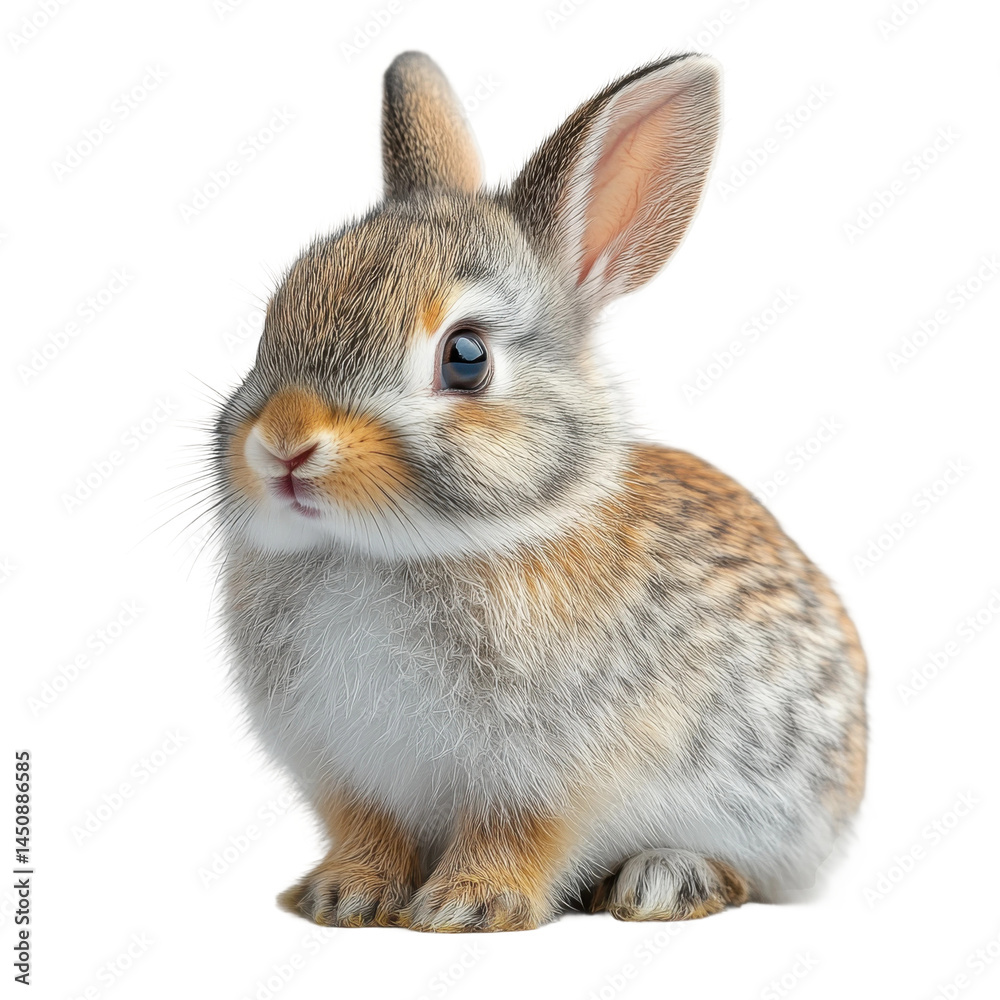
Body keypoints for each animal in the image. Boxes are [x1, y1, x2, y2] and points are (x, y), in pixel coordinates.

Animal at [211, 50, 867, 932]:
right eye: (273, 322)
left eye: (465, 358)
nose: (282, 445)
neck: (380, 553)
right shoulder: (349, 773)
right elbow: (368, 832)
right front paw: (341, 896)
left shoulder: (547, 777)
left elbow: (518, 835)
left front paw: (466, 907)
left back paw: (666, 880)